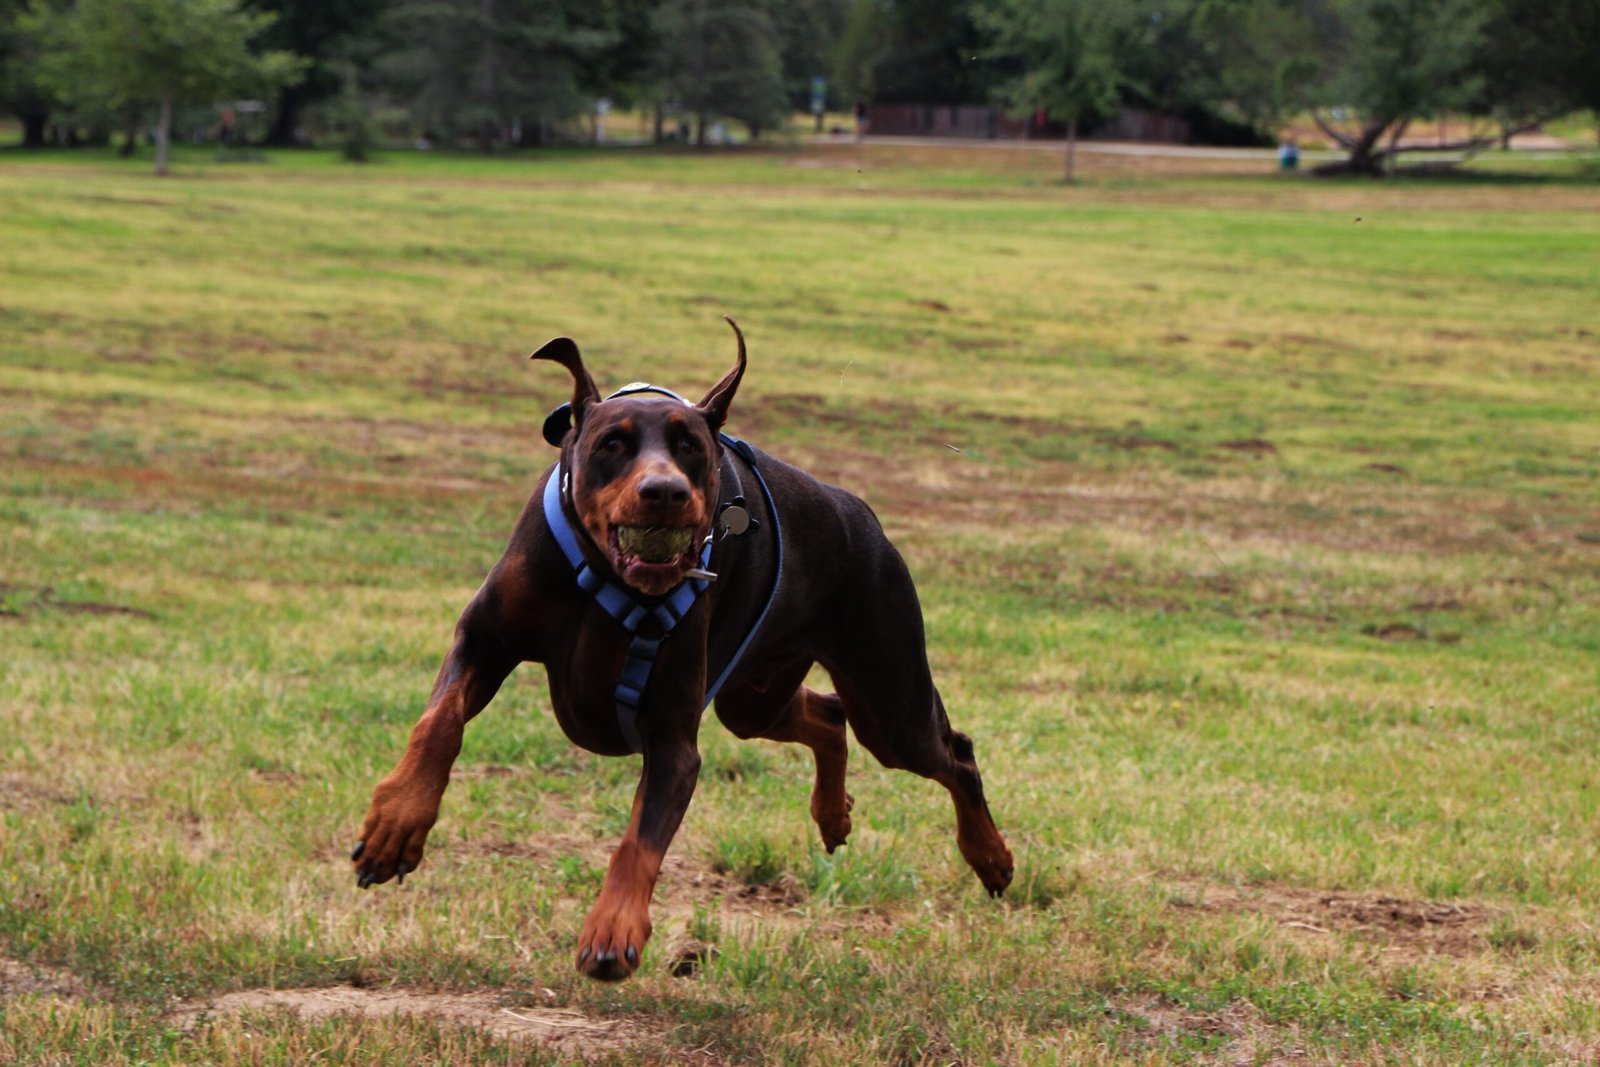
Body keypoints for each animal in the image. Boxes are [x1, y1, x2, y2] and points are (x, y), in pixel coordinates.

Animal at [356, 319, 1017, 985]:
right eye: (612, 443)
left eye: (691, 447)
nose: (665, 492)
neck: (605, 581)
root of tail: (860, 512)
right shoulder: (484, 639)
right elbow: (439, 723)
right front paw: (395, 824)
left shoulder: (673, 736)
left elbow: (642, 837)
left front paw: (612, 930)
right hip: (754, 697)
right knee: (829, 718)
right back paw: (834, 815)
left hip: (887, 695)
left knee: (953, 752)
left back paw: (991, 857)